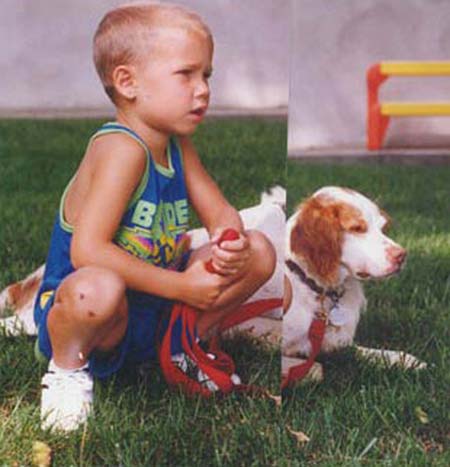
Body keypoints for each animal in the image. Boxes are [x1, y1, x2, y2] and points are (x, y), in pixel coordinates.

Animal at [284, 186, 428, 384]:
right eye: (357, 228)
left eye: (382, 228)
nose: (402, 255)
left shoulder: (338, 344)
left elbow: (372, 353)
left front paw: (407, 360)